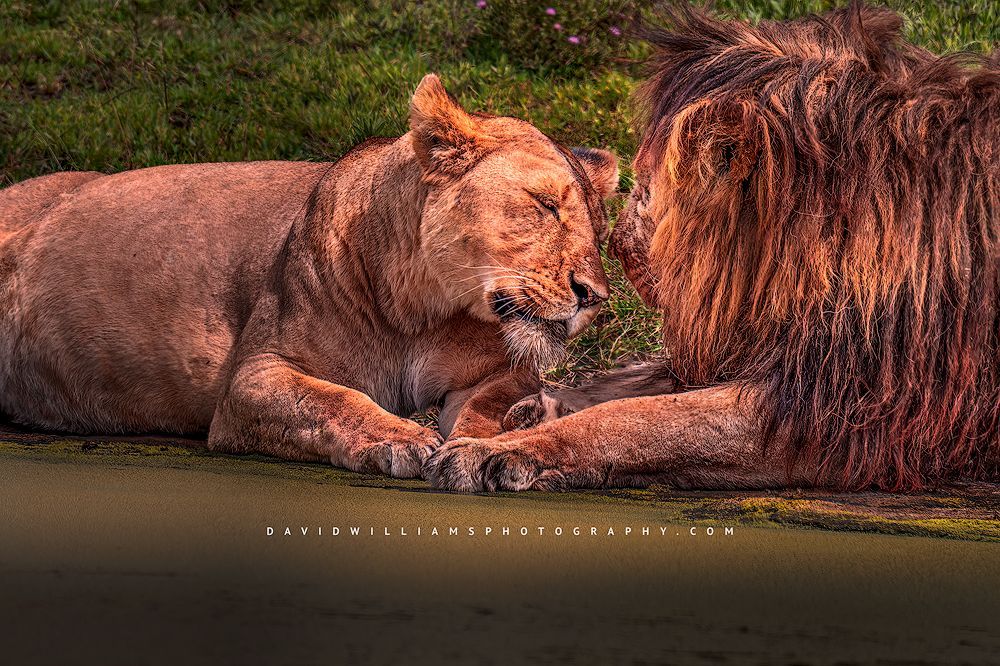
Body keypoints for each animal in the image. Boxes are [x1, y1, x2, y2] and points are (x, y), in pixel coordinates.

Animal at [0, 74, 619, 477]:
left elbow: (490, 404)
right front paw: (401, 437)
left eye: (598, 228)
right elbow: (333, 401)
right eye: (544, 205)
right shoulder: (253, 377)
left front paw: (479, 446)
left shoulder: (498, 369)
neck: (422, 310)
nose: (594, 298)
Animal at [424, 4, 999, 492]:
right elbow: (633, 388)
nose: (614, 245)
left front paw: (499, 450)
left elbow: (640, 419)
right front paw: (536, 407)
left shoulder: (841, 413)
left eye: (644, 190)